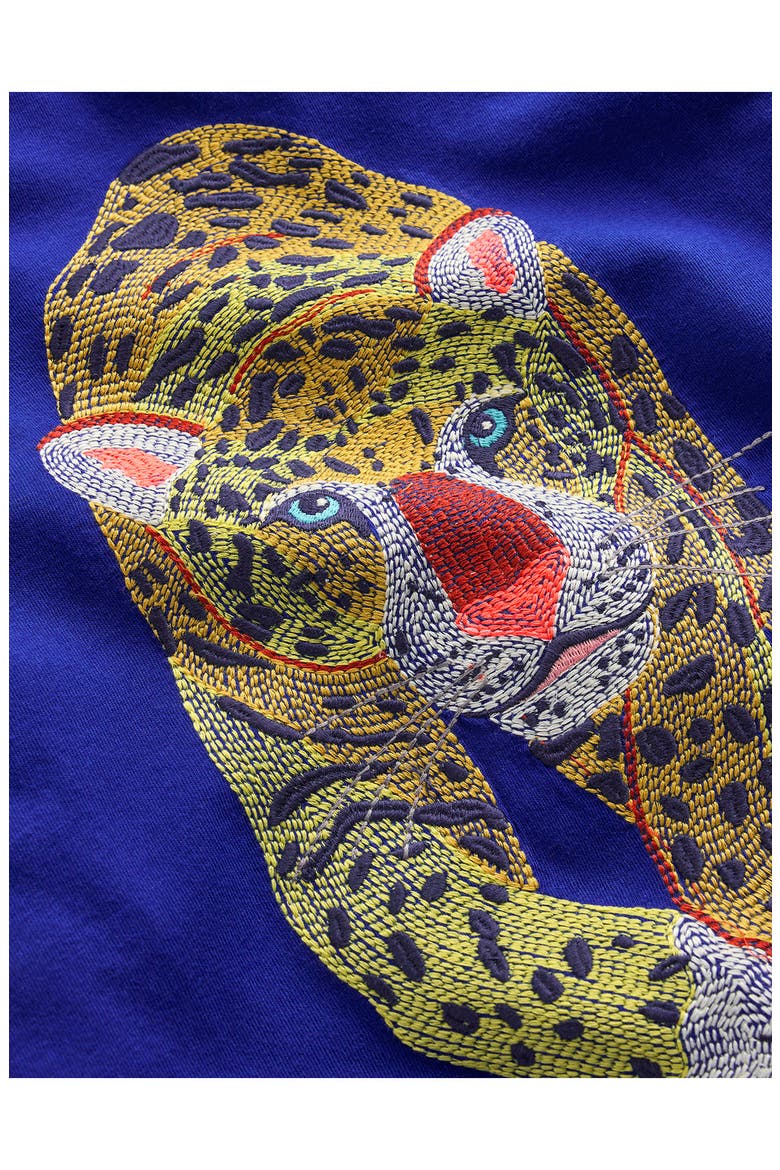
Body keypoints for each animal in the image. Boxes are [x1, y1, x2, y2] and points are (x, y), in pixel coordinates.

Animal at [39, 124, 771, 1077]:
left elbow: (721, 776)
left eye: (489, 425)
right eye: (316, 511)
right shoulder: (331, 788)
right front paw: (730, 1008)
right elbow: (475, 956)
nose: (522, 605)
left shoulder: (678, 586)